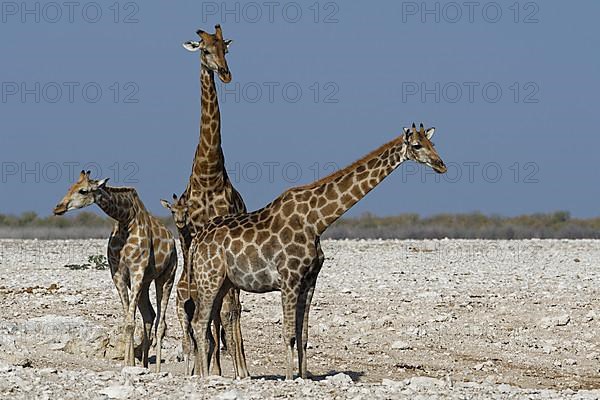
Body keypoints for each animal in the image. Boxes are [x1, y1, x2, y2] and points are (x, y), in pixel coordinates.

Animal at [53, 170, 177, 374]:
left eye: (83, 190)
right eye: (69, 187)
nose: (58, 208)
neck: (126, 219)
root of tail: (173, 242)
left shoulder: (137, 270)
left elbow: (130, 322)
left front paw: (129, 364)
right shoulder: (119, 274)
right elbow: (128, 321)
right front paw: (129, 363)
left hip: (166, 276)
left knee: (162, 322)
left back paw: (158, 369)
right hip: (145, 282)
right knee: (149, 315)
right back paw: (144, 364)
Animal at [190, 123, 448, 380]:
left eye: (432, 143)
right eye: (417, 145)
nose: (441, 165)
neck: (317, 222)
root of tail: (196, 241)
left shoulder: (310, 281)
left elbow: (303, 335)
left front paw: (304, 377)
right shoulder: (290, 279)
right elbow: (289, 334)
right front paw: (289, 378)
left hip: (223, 282)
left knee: (206, 321)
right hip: (209, 279)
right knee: (199, 322)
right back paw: (203, 378)